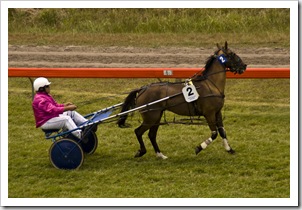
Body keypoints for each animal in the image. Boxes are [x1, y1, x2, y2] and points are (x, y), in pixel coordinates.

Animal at [117, 41, 247, 159]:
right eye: (232, 53)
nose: (244, 66)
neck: (211, 84)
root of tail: (142, 89)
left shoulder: (217, 112)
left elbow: (222, 131)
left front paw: (229, 149)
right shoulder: (209, 114)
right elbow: (214, 133)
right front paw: (199, 148)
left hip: (156, 116)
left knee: (152, 135)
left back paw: (160, 155)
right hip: (151, 117)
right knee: (138, 132)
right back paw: (141, 152)